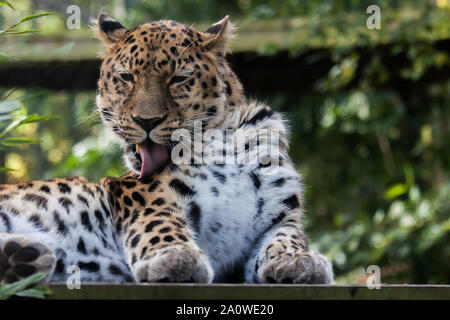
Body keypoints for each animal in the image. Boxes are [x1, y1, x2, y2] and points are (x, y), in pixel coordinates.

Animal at [0, 14, 332, 284]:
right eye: (126, 77)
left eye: (179, 79)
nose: (147, 120)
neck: (224, 138)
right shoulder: (141, 193)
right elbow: (159, 221)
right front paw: (175, 257)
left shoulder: (281, 214)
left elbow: (287, 236)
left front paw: (299, 261)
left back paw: (23, 259)